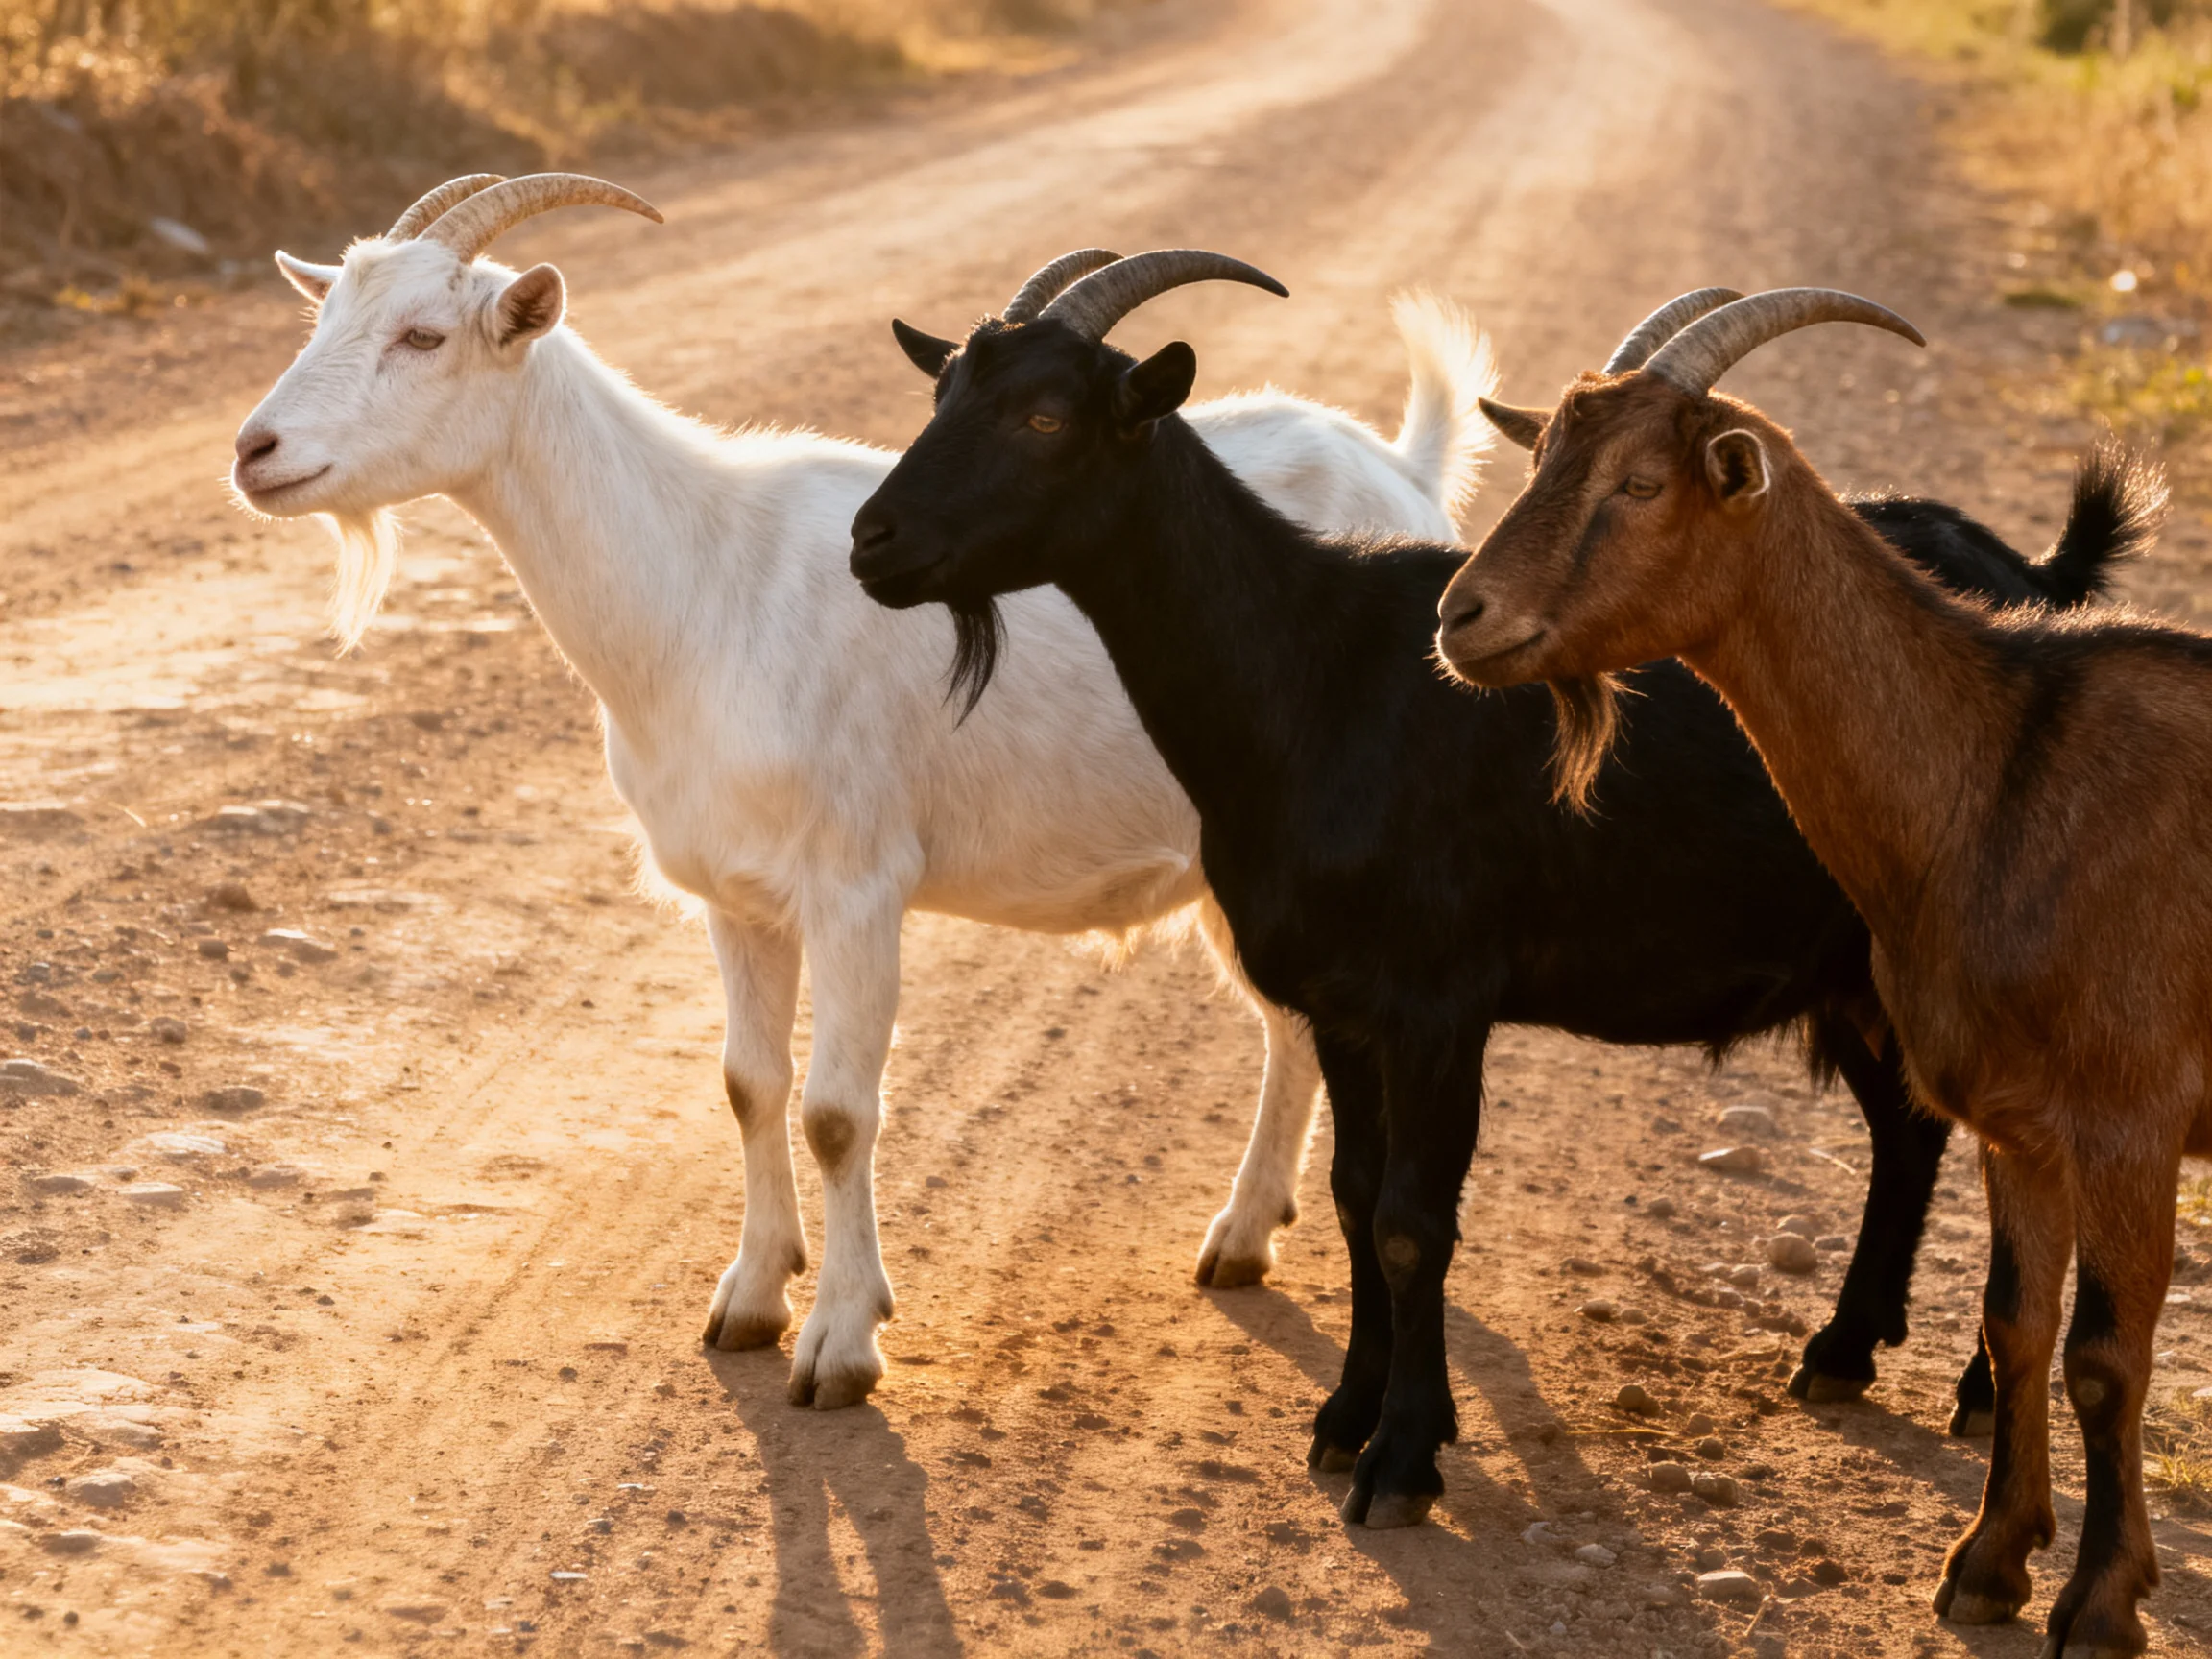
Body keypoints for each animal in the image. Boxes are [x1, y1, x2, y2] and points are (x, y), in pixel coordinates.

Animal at [228, 176, 1498, 1411]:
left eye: (424, 334)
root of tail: (1404, 472)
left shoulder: (857, 889)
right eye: (323, 317)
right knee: (1292, 1027)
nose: (256, 449)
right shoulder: (734, 897)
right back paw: (1246, 1234)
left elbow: (837, 1113)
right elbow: (748, 1085)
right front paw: (751, 1296)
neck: (701, 588)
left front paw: (841, 1343)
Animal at [848, 252, 2147, 1529]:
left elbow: (1412, 1224)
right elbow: (1354, 1200)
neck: (1313, 672)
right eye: (942, 392)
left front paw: (1402, 1456)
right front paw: (1345, 1417)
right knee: (1906, 1132)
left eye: (1045, 415)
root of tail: (2032, 578)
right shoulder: (1344, 1008)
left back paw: (1970, 1390)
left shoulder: (1437, 1003)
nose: (872, 540)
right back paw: (1843, 1349)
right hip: (1857, 971)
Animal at [1438, 287, 2191, 1655]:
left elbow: (2106, 1359)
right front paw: (1988, 1563)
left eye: (1639, 482)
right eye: (1540, 459)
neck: (2006, 765)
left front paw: (2102, 1602)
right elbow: (2019, 1322)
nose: (1458, 618)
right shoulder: (2021, 1121)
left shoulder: (2130, 1115)